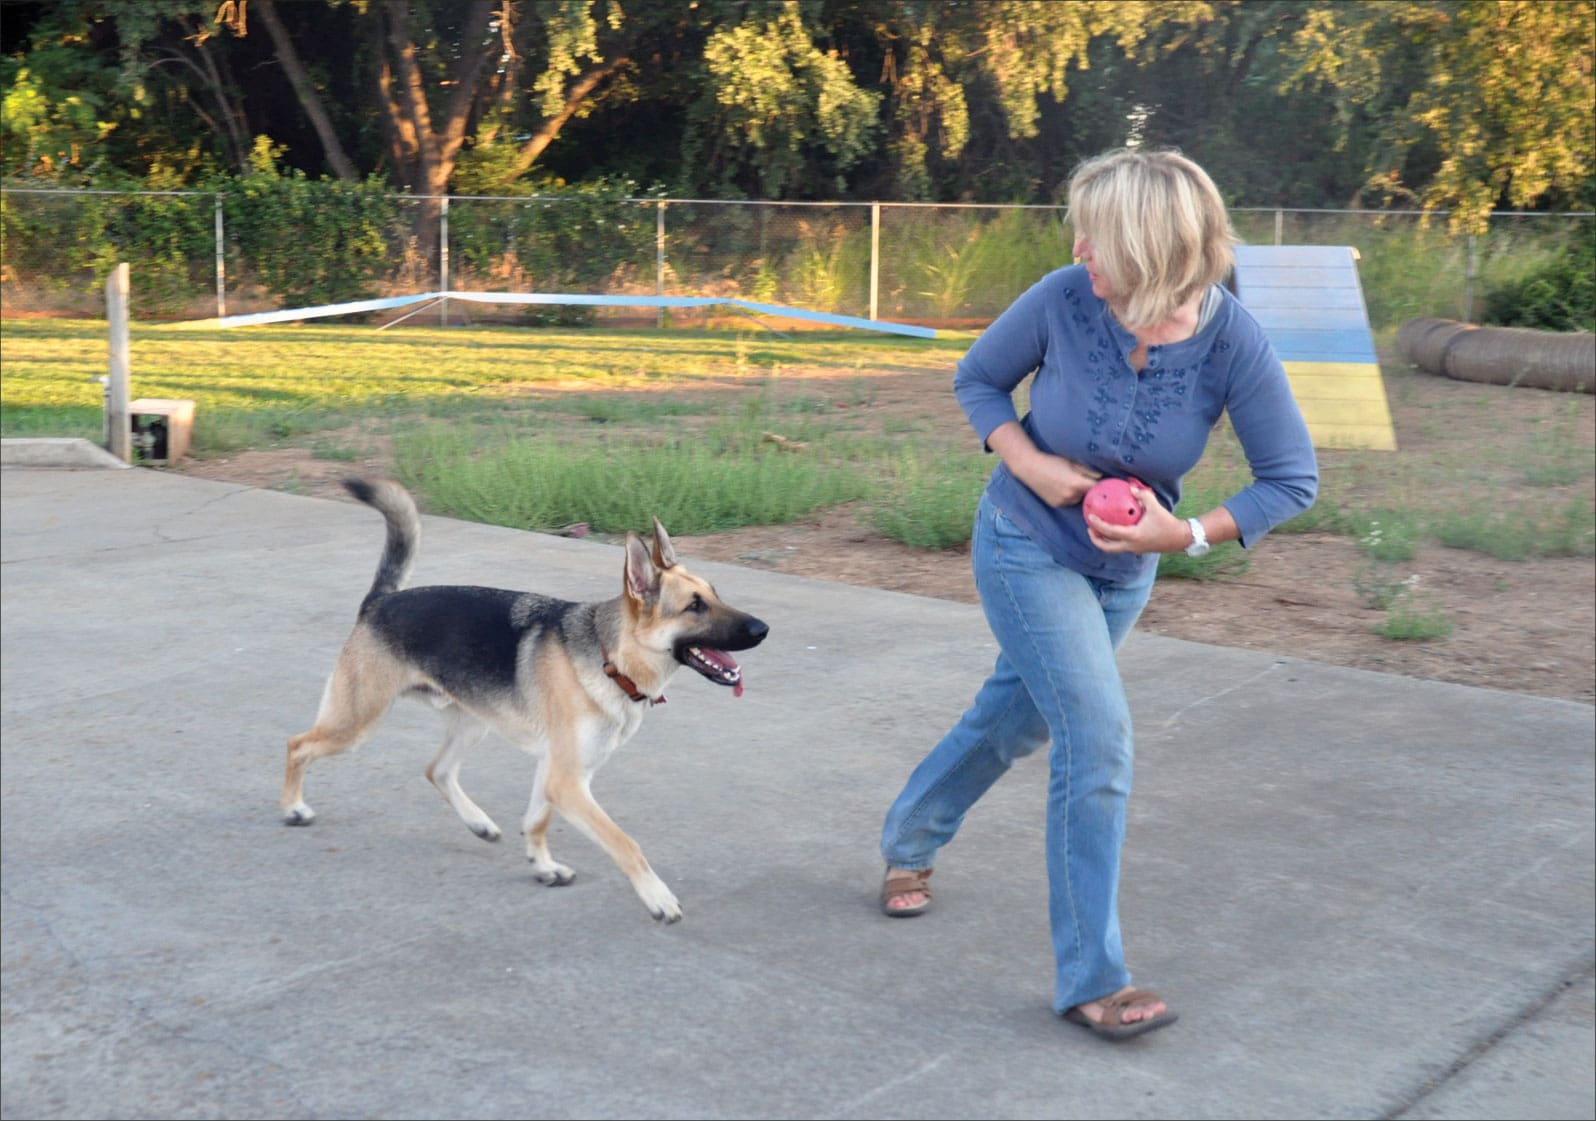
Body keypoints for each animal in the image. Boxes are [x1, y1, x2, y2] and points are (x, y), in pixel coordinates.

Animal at [284, 479, 769, 926]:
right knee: (297, 745)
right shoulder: (568, 781)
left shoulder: (557, 773)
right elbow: (625, 843)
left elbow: (536, 821)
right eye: (695, 606)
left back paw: (477, 822)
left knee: (437, 770)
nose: (763, 629)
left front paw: (544, 866)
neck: (610, 657)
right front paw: (658, 897)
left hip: (472, 724)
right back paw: (292, 808)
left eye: (716, 593)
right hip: (356, 722)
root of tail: (380, 601)